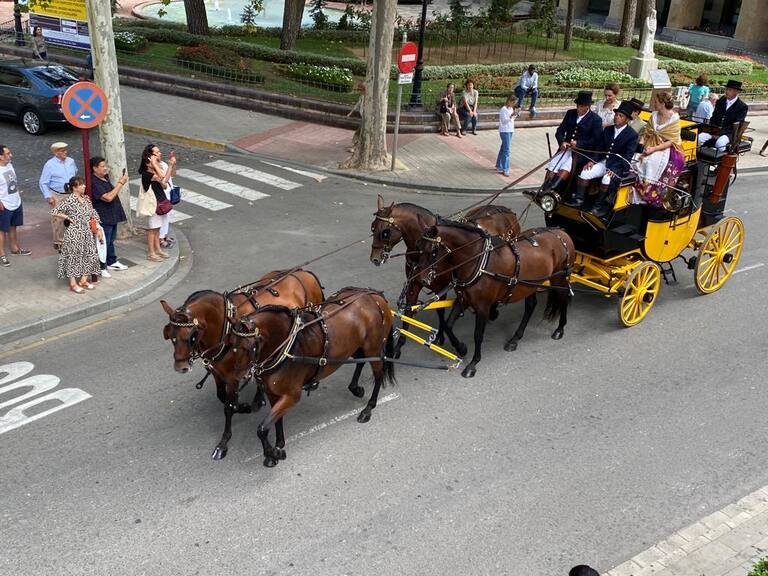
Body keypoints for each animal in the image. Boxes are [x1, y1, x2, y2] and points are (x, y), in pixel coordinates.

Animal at [160, 269, 325, 460]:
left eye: (190, 336)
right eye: (171, 336)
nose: (181, 367)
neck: (224, 325)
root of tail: (305, 272)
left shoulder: (232, 376)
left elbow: (228, 407)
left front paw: (223, 442)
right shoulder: (218, 372)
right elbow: (222, 397)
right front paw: (245, 406)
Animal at [226, 287, 396, 467]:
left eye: (248, 347)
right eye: (230, 344)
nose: (237, 375)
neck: (288, 346)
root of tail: (374, 295)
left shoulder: (291, 396)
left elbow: (262, 429)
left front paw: (273, 453)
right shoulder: (273, 394)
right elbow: (275, 422)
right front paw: (278, 446)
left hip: (373, 348)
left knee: (379, 374)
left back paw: (368, 408)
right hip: (357, 346)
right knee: (360, 361)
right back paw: (355, 388)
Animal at [369, 195, 520, 352]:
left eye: (385, 232)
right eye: (372, 227)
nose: (375, 258)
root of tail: (505, 210)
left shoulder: (440, 286)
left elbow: (440, 312)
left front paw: (442, 338)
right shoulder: (413, 284)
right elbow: (408, 311)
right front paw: (399, 345)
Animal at [414, 219, 575, 378]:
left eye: (433, 252)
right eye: (418, 249)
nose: (422, 280)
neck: (478, 261)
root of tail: (562, 232)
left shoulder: (483, 306)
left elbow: (478, 335)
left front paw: (473, 364)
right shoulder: (463, 300)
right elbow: (448, 325)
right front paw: (461, 348)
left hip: (559, 278)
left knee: (564, 298)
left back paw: (560, 329)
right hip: (529, 285)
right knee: (531, 306)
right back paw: (514, 339)